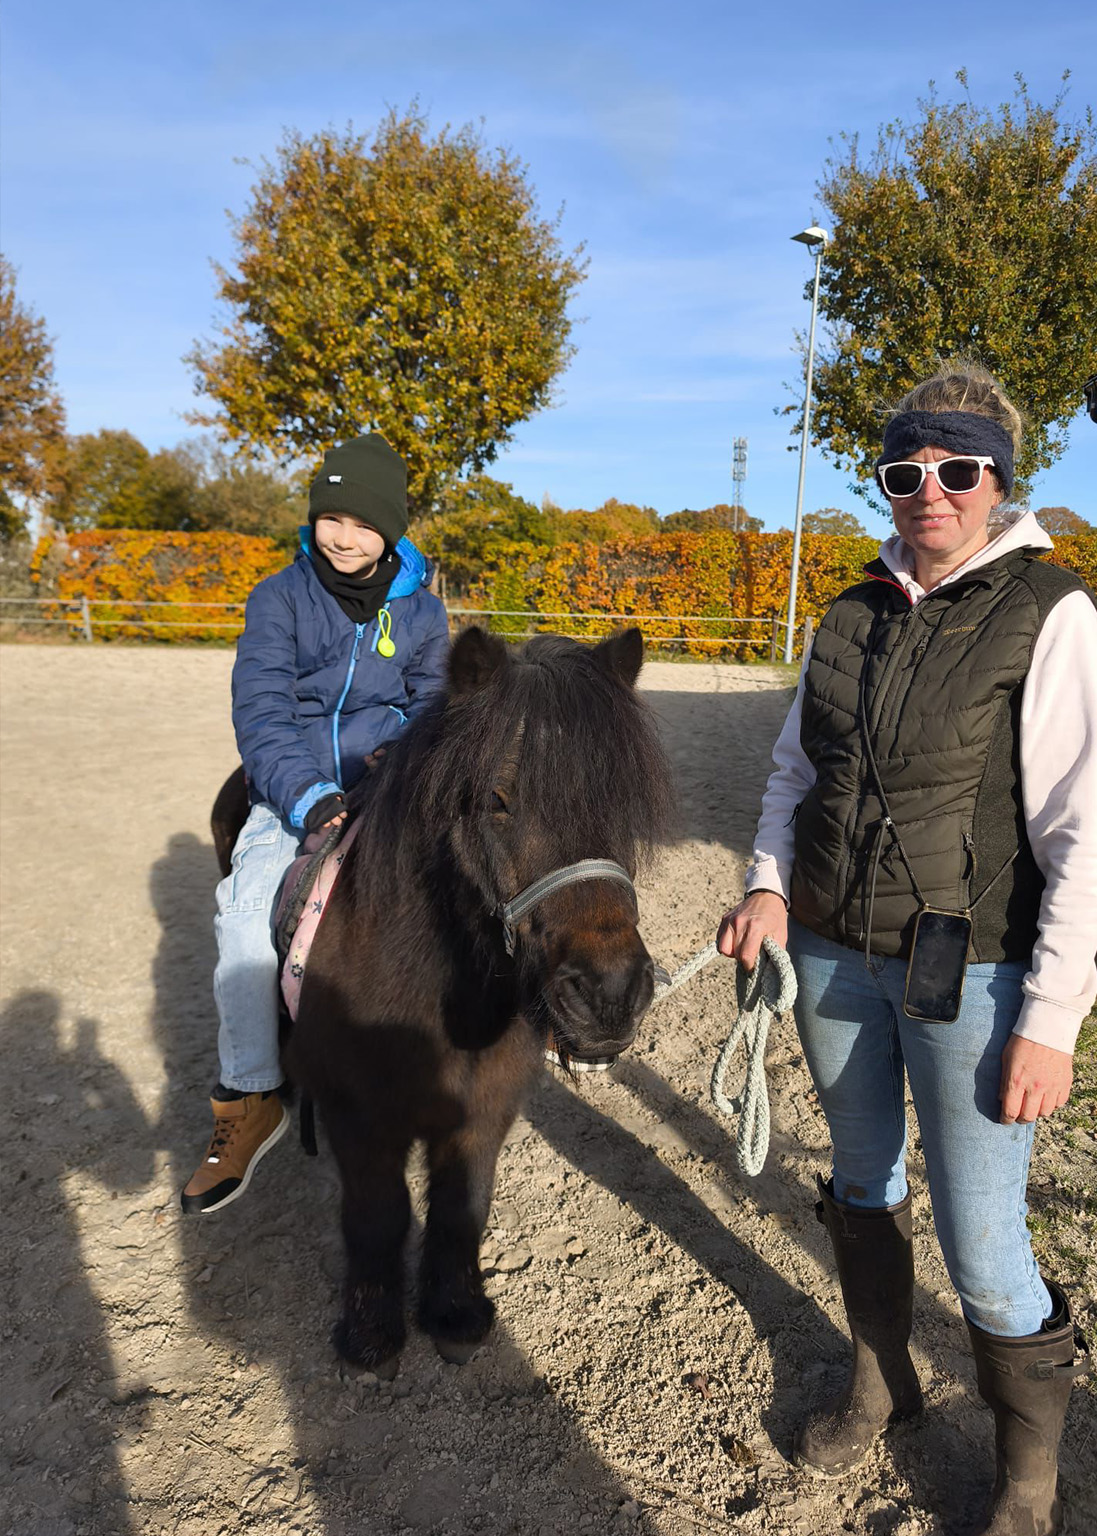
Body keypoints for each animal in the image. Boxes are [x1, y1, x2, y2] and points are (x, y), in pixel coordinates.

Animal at [211, 626, 673, 1376]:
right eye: (496, 799)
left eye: (622, 804)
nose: (609, 995)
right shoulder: (359, 1116)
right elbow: (379, 1216)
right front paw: (371, 1331)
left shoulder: (483, 1106)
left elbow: (461, 1207)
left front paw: (454, 1312)